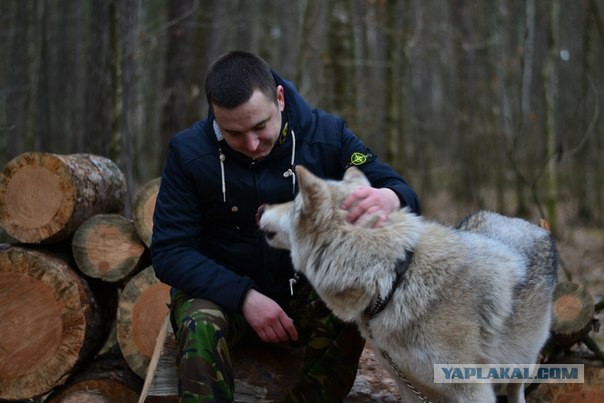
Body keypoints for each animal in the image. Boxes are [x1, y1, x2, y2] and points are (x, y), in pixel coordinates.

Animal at [258, 165, 560, 403]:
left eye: (294, 203)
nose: (261, 207)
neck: (394, 278)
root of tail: (530, 224)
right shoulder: (409, 383)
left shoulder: (471, 389)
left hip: (521, 364)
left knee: (516, 390)